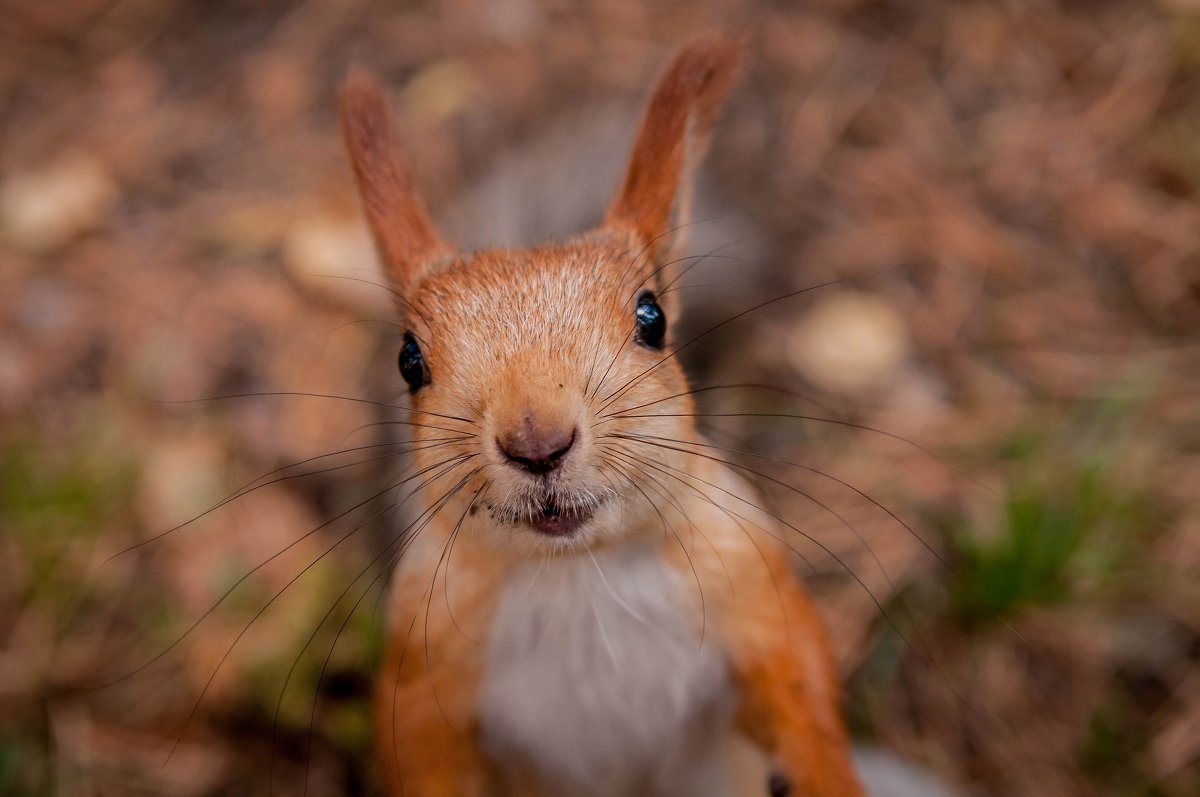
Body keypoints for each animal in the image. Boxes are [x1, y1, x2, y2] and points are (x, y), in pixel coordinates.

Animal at [338, 35, 864, 797]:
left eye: (653, 318)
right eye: (408, 359)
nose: (537, 441)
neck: (580, 575)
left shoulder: (755, 590)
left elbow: (801, 688)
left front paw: (823, 771)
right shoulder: (425, 664)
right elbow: (418, 751)